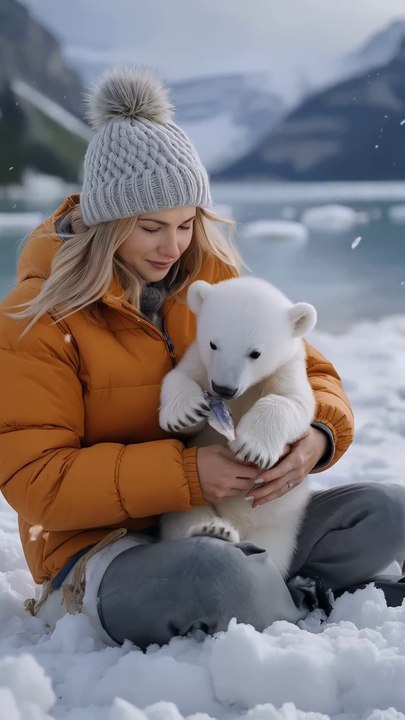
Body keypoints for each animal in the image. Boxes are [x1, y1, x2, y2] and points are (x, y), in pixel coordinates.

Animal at [159, 276, 317, 577]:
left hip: (278, 526)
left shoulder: (286, 371)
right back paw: (213, 530)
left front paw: (253, 447)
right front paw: (184, 412)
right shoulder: (199, 363)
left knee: (273, 554)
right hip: (190, 504)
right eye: (213, 344)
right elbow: (179, 382)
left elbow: (294, 402)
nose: (223, 388)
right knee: (184, 520)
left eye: (255, 353)